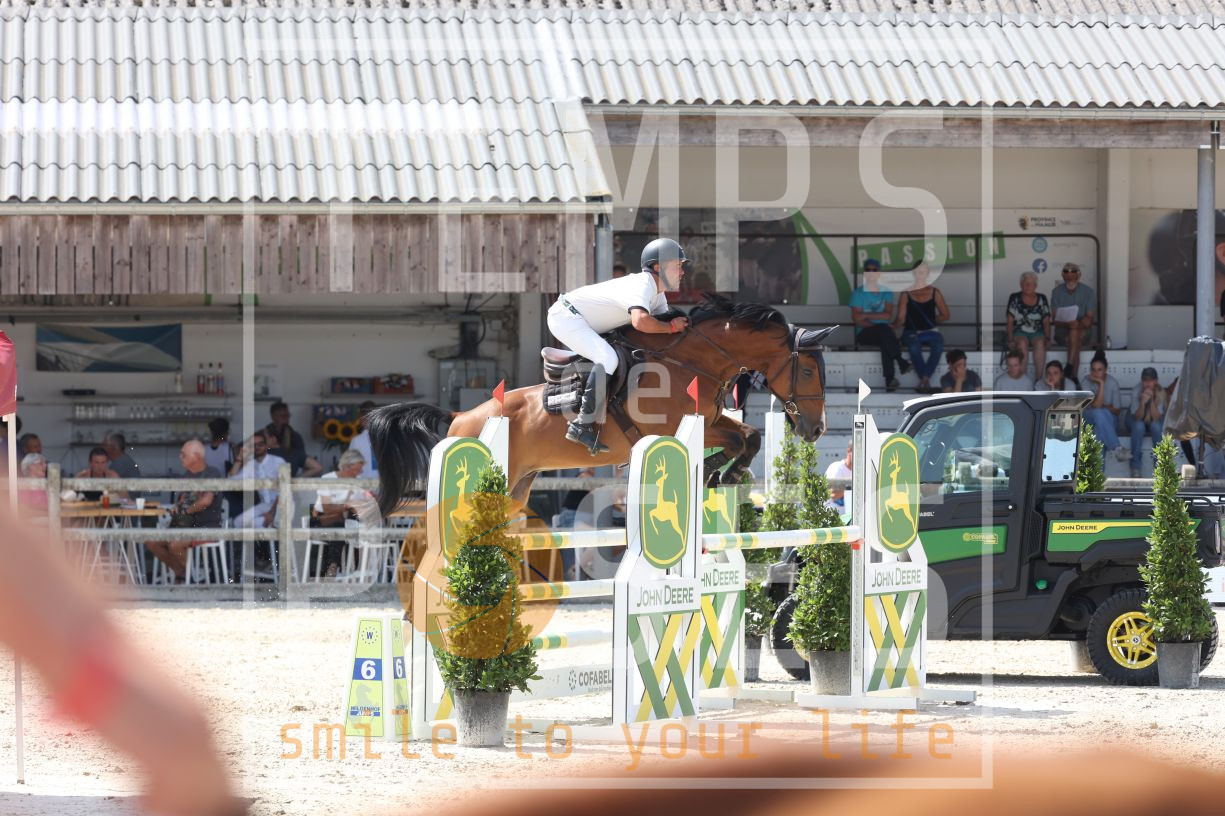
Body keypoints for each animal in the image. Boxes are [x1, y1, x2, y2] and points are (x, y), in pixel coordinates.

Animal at [369, 296, 834, 515]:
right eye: (809, 371)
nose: (816, 430)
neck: (690, 360)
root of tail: (458, 417)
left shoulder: (715, 420)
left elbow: (749, 436)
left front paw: (724, 474)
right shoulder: (670, 428)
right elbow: (739, 440)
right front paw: (721, 471)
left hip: (516, 489)